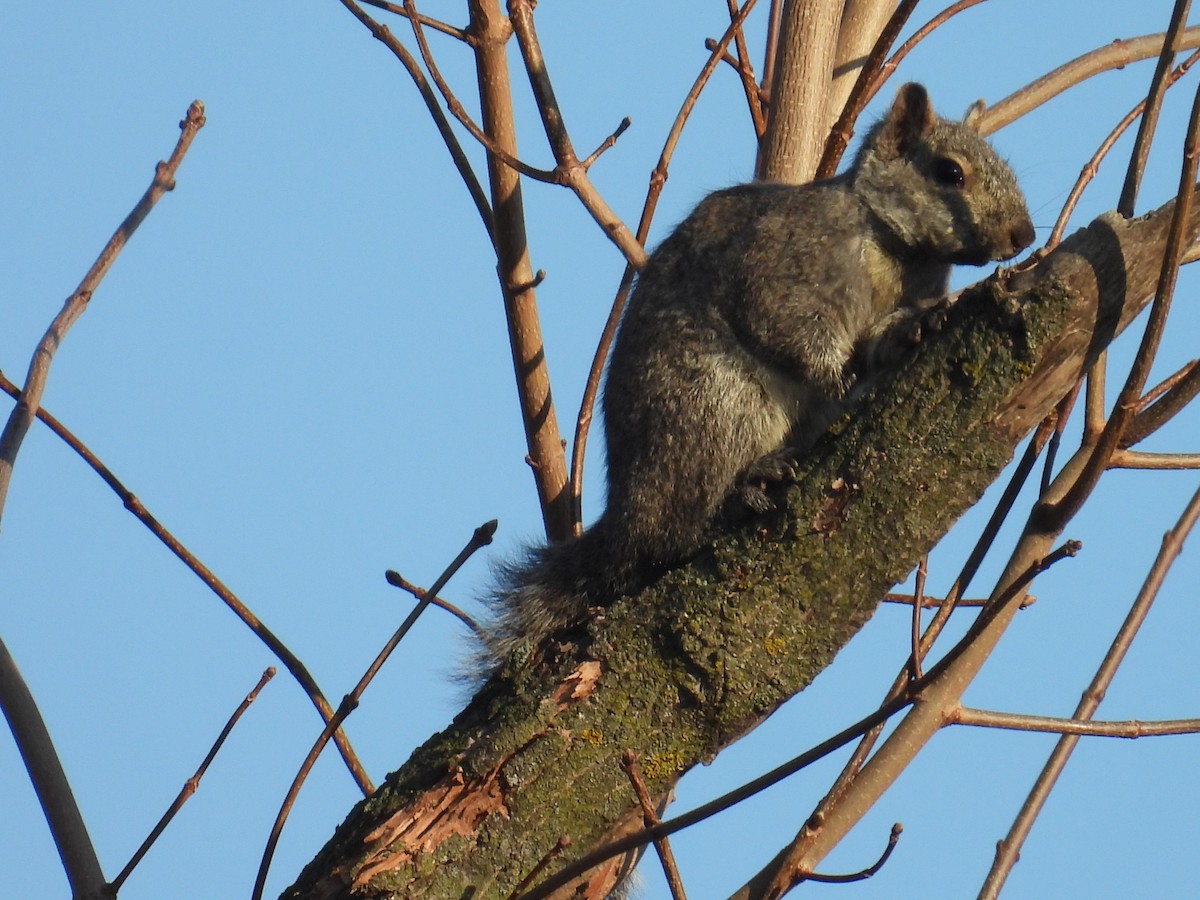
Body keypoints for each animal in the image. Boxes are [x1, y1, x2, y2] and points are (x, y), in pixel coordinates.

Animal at [485, 82, 1035, 665]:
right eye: (949, 172)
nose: (1023, 235)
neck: (898, 254)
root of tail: (628, 517)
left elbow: (882, 340)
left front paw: (919, 324)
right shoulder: (783, 264)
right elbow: (782, 322)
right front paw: (833, 376)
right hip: (716, 411)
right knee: (672, 535)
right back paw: (740, 491)